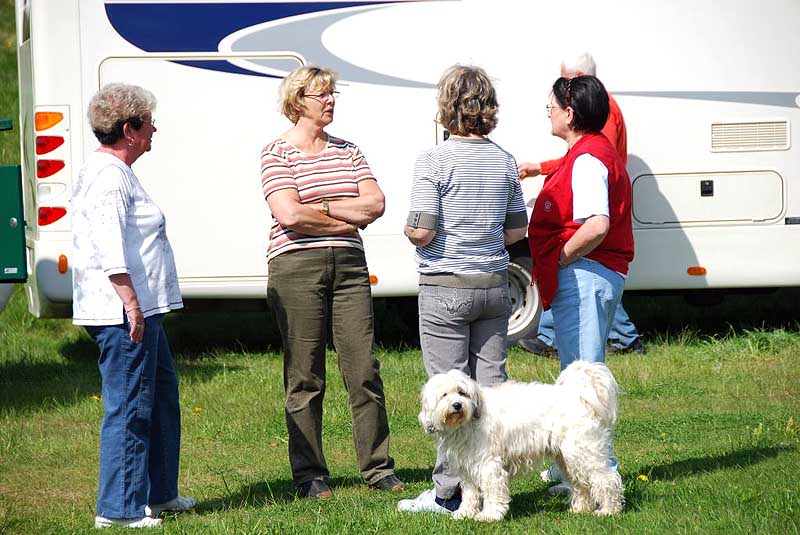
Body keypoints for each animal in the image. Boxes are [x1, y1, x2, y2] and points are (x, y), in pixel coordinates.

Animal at [418, 362, 624, 520]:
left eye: (461, 392)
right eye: (444, 395)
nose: (457, 405)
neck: (469, 421)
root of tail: (578, 396)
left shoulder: (489, 465)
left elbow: (492, 491)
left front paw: (489, 515)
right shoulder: (467, 468)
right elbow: (470, 493)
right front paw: (465, 513)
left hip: (584, 452)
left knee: (606, 479)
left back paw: (608, 510)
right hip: (567, 458)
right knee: (580, 483)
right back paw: (579, 509)